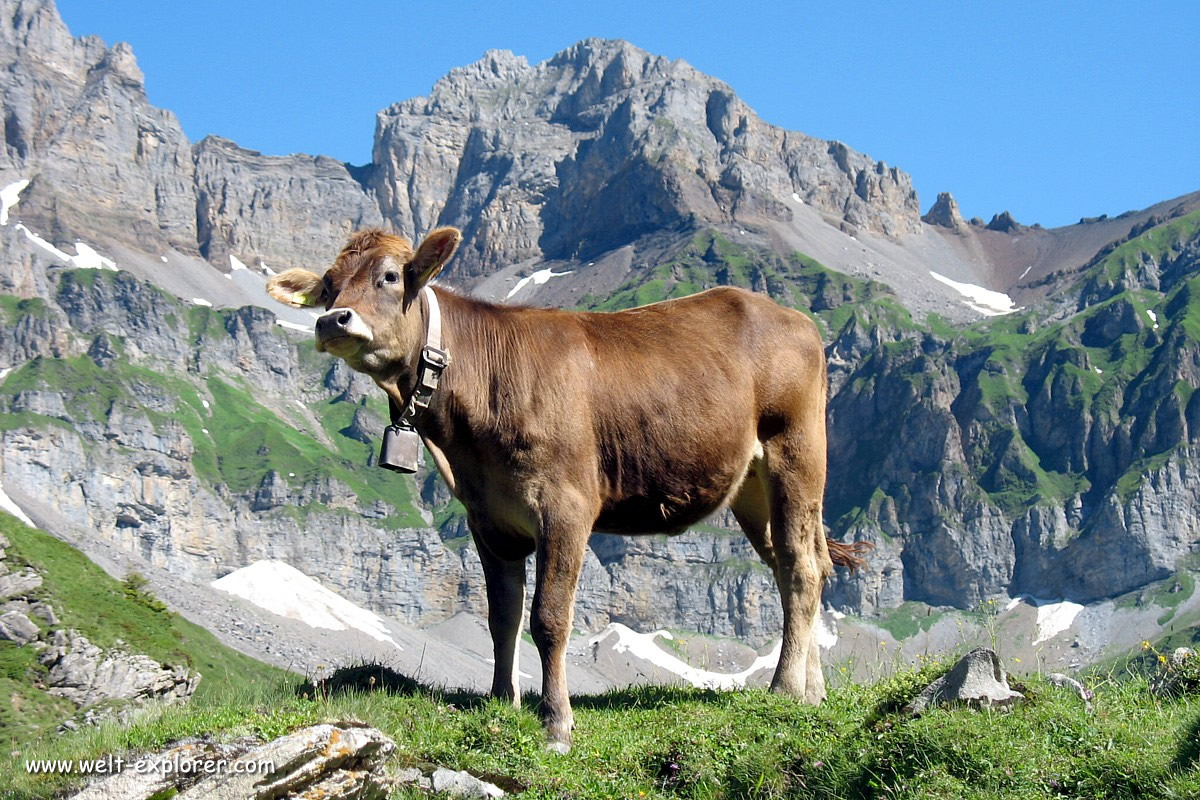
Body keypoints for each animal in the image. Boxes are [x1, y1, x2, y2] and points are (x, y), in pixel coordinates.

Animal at [267, 227, 868, 753]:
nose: (332, 319)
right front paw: (501, 700)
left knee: (800, 566)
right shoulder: (489, 520)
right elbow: (502, 616)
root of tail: (793, 317)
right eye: (328, 284)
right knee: (801, 565)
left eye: (390, 276)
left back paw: (785, 689)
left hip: (795, 453)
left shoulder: (566, 506)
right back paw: (813, 691)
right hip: (751, 487)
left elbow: (548, 618)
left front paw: (556, 721)